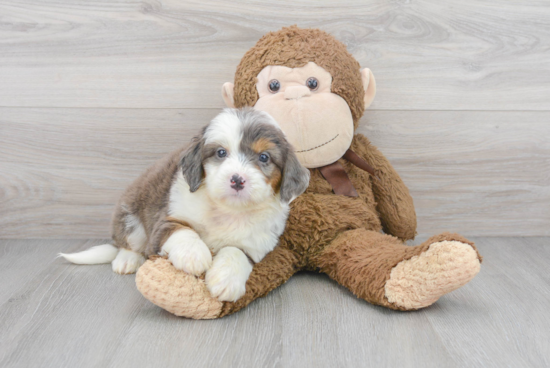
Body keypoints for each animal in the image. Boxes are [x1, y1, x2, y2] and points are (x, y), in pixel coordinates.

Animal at [61, 108, 310, 302]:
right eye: (221, 152)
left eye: (264, 157)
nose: (237, 180)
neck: (227, 210)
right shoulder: (165, 220)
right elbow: (182, 230)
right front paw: (194, 255)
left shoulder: (256, 244)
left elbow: (235, 251)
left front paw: (226, 280)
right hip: (129, 214)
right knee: (128, 242)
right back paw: (126, 259)